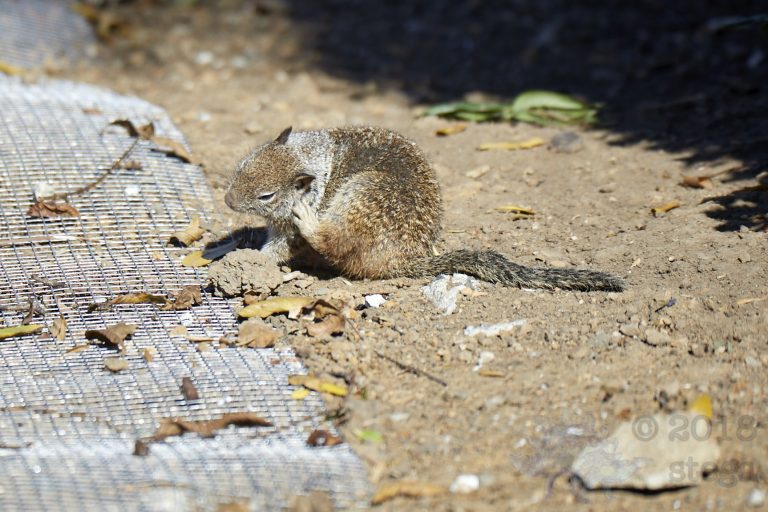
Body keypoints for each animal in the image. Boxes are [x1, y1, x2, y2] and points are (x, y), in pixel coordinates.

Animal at [224, 126, 625, 292]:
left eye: (266, 196)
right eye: (243, 164)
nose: (228, 201)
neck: (313, 159)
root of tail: (403, 261)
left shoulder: (288, 228)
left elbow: (280, 247)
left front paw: (247, 260)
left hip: (362, 194)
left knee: (335, 243)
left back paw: (314, 226)